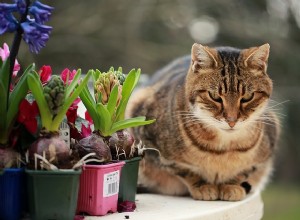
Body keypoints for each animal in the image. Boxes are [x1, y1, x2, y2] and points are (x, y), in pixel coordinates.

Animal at [126, 43, 278, 201]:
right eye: (214, 96)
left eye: (247, 97)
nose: (231, 121)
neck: (223, 149)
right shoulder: (148, 139)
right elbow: (183, 170)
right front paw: (202, 186)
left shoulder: (264, 152)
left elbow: (244, 172)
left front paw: (231, 185)